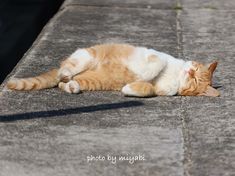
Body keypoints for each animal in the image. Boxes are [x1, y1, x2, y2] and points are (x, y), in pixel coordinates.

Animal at [6, 43, 220, 97]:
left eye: (195, 81)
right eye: (194, 70)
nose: (190, 72)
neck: (176, 75)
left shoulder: (162, 91)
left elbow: (149, 89)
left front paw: (129, 88)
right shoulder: (155, 56)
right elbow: (156, 65)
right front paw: (142, 75)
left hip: (88, 81)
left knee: (62, 84)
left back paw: (70, 86)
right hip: (86, 56)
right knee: (64, 71)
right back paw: (65, 73)